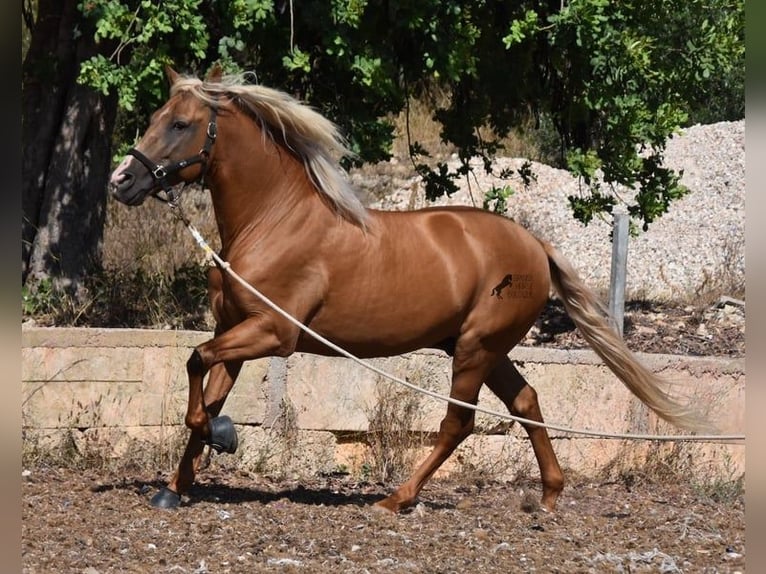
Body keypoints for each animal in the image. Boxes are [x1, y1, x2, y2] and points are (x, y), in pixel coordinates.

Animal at [108, 66, 708, 512]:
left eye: (181, 124)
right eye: (156, 118)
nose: (122, 182)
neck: (273, 221)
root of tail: (535, 244)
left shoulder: (273, 333)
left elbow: (195, 368)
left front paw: (222, 437)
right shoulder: (235, 330)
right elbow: (205, 389)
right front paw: (175, 488)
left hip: (475, 349)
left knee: (458, 422)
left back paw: (396, 499)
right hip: (485, 349)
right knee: (526, 401)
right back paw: (547, 496)